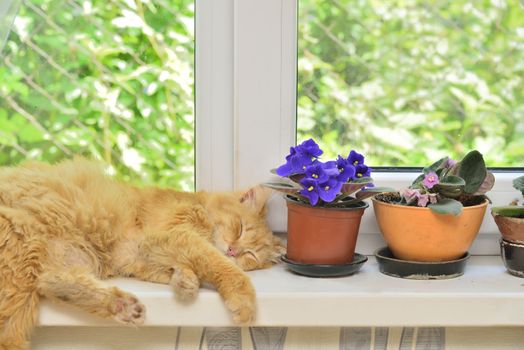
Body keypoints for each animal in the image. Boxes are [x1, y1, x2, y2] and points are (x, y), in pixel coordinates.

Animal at [0, 157, 284, 348]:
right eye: (240, 228)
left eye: (251, 255)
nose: (234, 251)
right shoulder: (173, 236)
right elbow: (218, 265)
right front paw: (242, 300)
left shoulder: (138, 253)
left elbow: (177, 268)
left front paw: (185, 282)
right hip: (23, 269)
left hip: (70, 259)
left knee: (52, 281)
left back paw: (124, 307)